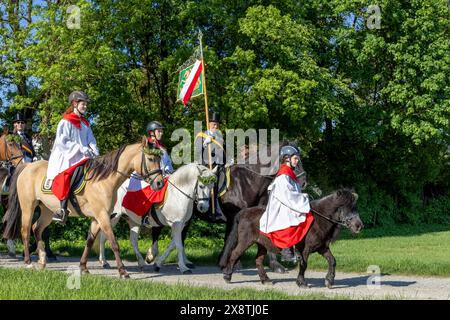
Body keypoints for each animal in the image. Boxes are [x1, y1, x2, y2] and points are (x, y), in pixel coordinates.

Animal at [1, 139, 164, 278]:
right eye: (150, 159)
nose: (160, 183)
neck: (103, 180)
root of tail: (27, 166)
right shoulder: (103, 216)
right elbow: (114, 243)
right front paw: (123, 271)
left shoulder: (97, 218)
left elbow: (89, 241)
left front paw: (83, 267)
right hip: (28, 207)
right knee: (25, 231)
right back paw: (28, 262)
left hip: (47, 210)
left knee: (37, 229)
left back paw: (42, 261)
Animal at [220, 189, 364, 288]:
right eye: (345, 207)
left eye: (355, 207)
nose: (359, 226)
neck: (319, 220)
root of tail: (244, 212)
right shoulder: (305, 249)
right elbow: (304, 265)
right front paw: (301, 283)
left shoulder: (322, 248)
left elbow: (332, 261)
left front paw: (329, 281)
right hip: (245, 241)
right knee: (234, 255)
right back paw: (227, 276)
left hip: (262, 244)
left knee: (258, 261)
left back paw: (265, 280)